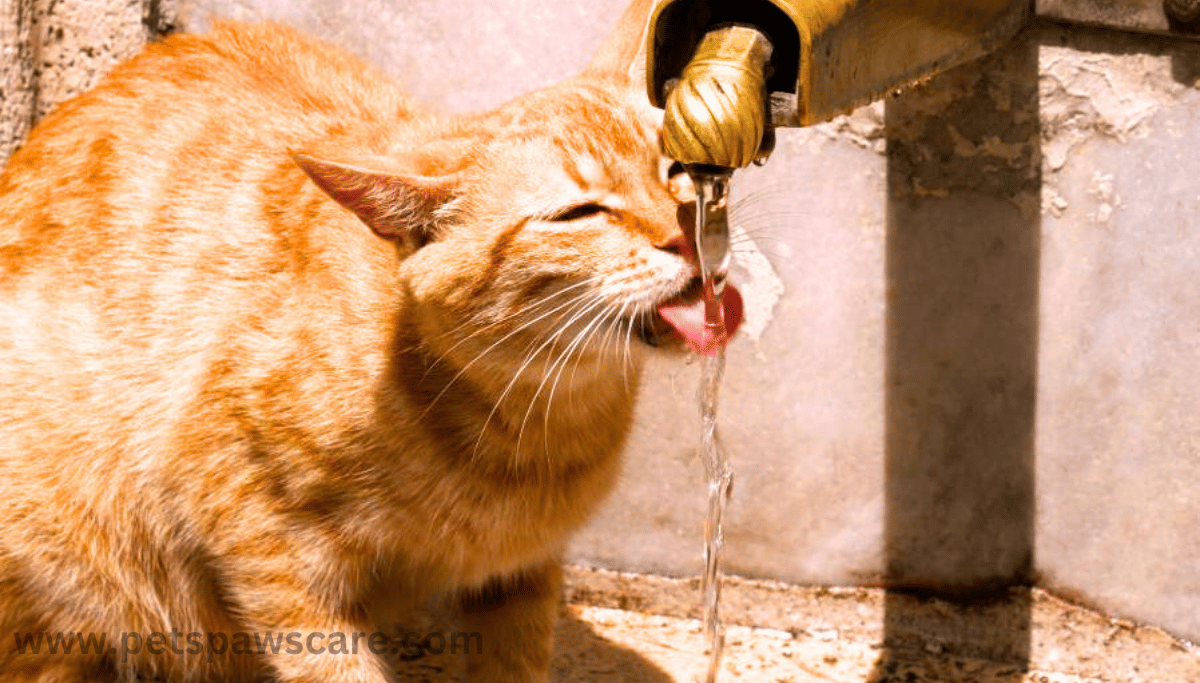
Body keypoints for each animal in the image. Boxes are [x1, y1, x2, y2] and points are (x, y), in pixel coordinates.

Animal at [0, 0, 739, 676]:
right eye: (579, 213)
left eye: (677, 171)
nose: (682, 233)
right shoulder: (264, 548)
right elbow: (331, 661)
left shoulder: (521, 572)